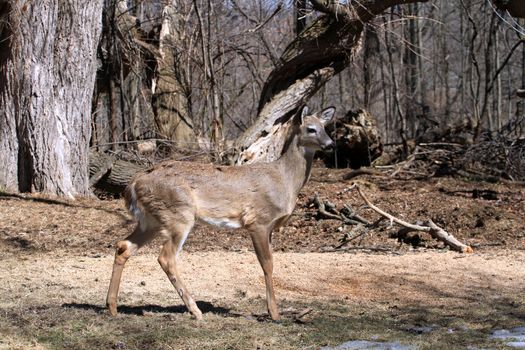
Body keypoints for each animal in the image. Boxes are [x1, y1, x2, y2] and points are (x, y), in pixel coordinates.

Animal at [106, 106, 334, 320]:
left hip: (151, 220)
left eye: (325, 127)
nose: (331, 144)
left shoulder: (270, 227)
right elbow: (267, 265)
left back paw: (112, 307)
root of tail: (133, 183)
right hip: (178, 214)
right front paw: (274, 313)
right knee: (166, 257)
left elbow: (271, 263)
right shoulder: (258, 221)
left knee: (123, 246)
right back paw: (195, 310)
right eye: (311, 129)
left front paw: (273, 311)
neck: (284, 181)